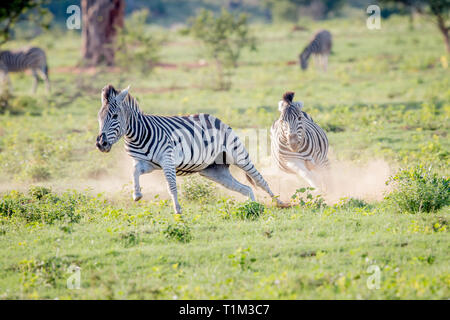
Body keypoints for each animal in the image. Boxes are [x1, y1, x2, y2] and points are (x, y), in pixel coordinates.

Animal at [96, 85, 286, 215]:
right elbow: (134, 172)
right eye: (99, 117)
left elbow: (171, 186)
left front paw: (177, 210)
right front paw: (137, 194)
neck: (138, 135)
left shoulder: (167, 160)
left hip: (238, 155)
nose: (101, 143)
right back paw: (253, 207)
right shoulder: (146, 163)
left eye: (114, 116)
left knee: (260, 180)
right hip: (214, 171)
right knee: (245, 188)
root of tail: (213, 117)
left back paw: (280, 202)